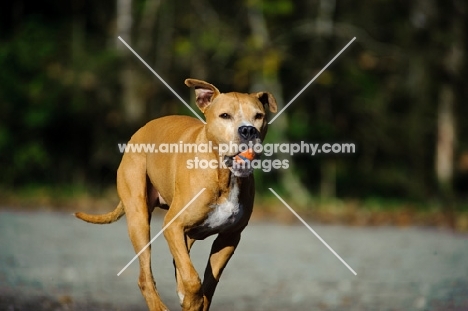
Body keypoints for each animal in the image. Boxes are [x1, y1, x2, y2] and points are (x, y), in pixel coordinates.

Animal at [74, 80, 276, 311]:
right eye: (225, 115)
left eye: (259, 116)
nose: (248, 130)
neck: (225, 175)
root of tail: (141, 130)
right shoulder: (173, 225)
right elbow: (192, 278)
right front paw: (192, 300)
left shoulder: (229, 238)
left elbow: (208, 282)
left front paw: (195, 301)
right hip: (139, 220)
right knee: (146, 276)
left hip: (186, 234)